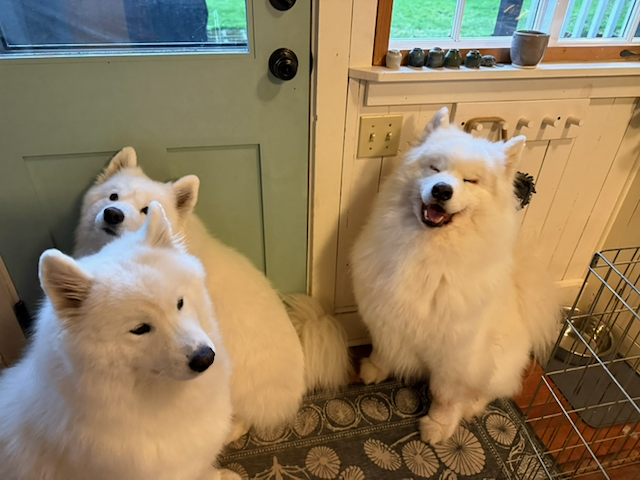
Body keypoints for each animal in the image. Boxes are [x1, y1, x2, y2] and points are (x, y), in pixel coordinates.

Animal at [351, 107, 559, 445]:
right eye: (435, 167)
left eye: (470, 180)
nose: (441, 189)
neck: (428, 254)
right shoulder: (387, 313)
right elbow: (384, 348)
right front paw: (375, 369)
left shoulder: (458, 352)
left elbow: (447, 395)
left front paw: (439, 426)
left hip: (496, 361)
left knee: (493, 389)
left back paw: (472, 407)